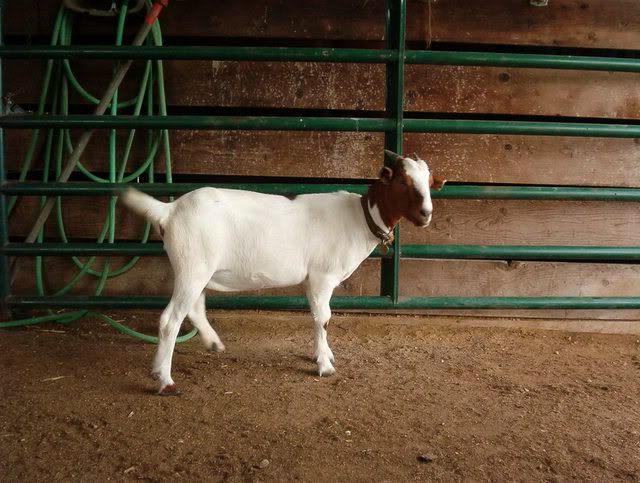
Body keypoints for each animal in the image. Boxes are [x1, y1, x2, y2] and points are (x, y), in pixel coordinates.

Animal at [121, 150, 445, 394]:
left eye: (429, 182)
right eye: (402, 181)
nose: (426, 214)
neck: (359, 217)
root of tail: (170, 210)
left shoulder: (311, 280)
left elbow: (316, 317)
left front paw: (321, 353)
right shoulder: (323, 276)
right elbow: (324, 319)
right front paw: (325, 366)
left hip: (197, 269)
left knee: (194, 307)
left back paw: (212, 343)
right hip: (192, 266)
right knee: (169, 320)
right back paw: (165, 380)